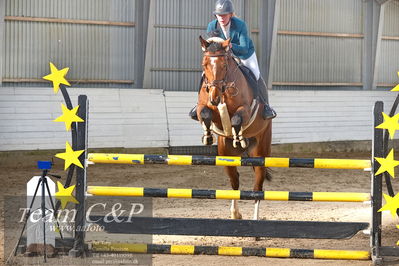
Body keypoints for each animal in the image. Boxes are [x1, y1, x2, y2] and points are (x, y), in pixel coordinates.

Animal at [196, 35, 274, 220]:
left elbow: (237, 119)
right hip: (226, 154)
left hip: (261, 150)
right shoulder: (205, 108)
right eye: (204, 64)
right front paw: (207, 136)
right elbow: (205, 113)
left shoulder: (244, 109)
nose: (215, 98)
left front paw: (239, 138)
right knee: (235, 181)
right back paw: (235, 213)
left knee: (257, 188)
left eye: (224, 65)